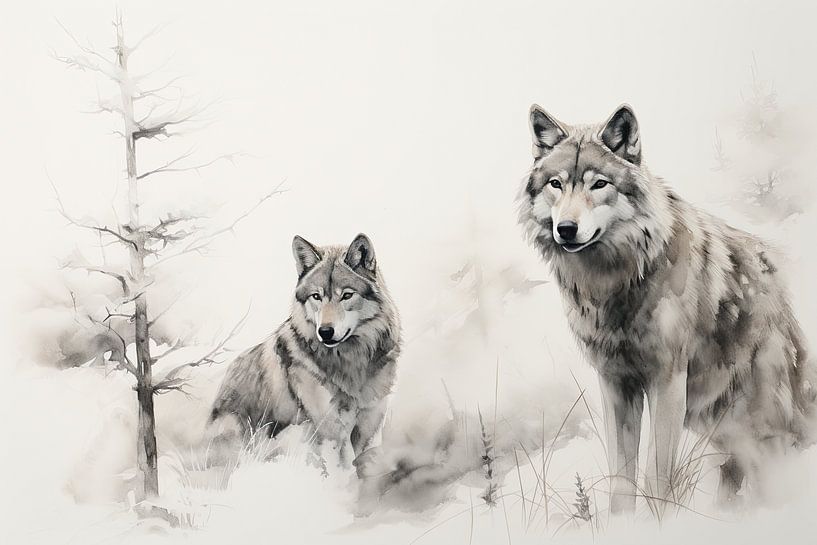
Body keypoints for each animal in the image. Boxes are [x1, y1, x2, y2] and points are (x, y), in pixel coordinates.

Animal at [209, 233, 401, 465]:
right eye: (316, 296)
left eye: (346, 296)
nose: (325, 332)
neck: (352, 363)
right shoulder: (331, 431)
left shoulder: (367, 430)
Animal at [518, 104, 815, 513]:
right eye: (556, 184)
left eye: (599, 184)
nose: (566, 228)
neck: (615, 282)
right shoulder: (614, 383)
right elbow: (622, 478)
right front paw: (622, 522)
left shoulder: (668, 381)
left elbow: (656, 476)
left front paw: (657, 522)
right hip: (720, 427)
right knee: (734, 472)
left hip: (757, 425)